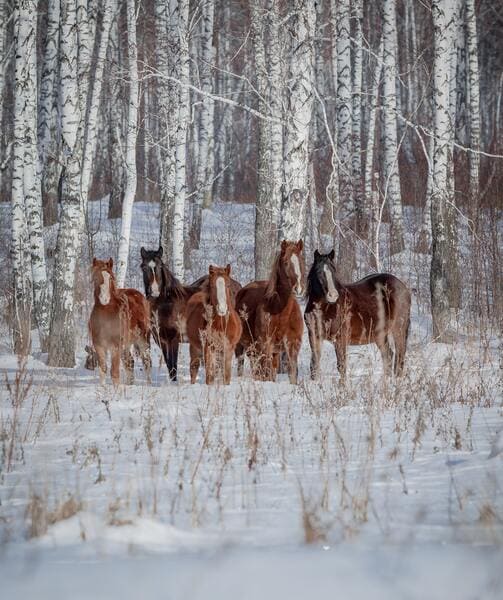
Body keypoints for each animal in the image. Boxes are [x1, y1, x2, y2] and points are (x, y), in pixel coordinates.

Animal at [235, 239, 306, 384]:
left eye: (301, 261)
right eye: (286, 262)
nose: (299, 288)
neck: (281, 312)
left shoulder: (292, 345)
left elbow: (292, 373)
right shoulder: (265, 345)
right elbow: (267, 374)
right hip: (244, 346)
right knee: (242, 364)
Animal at [306, 248, 412, 380]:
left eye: (333, 271)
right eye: (319, 272)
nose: (333, 295)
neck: (325, 308)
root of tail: (404, 288)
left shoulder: (340, 339)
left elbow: (341, 366)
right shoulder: (314, 336)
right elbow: (314, 366)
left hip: (399, 330)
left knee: (399, 357)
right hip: (380, 335)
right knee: (388, 356)